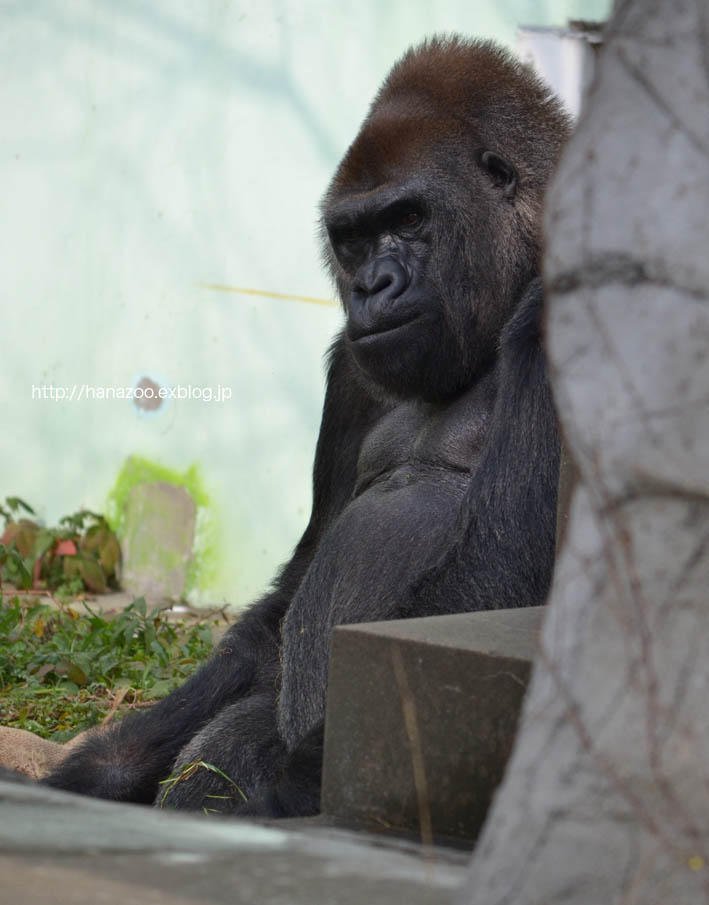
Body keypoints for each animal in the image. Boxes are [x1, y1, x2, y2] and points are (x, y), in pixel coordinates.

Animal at [45, 35, 568, 816]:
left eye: (408, 220)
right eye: (352, 238)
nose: (371, 287)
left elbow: (505, 571)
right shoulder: (350, 368)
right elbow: (287, 601)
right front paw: (107, 769)